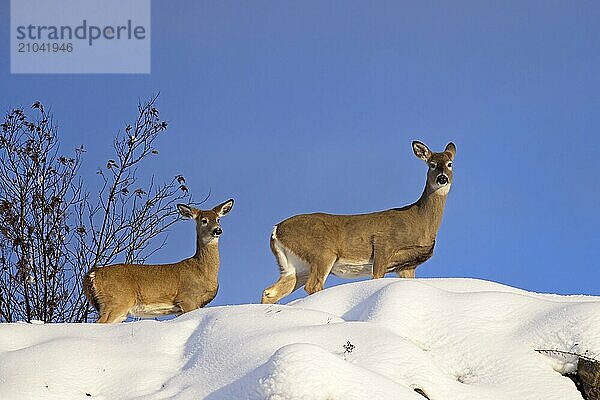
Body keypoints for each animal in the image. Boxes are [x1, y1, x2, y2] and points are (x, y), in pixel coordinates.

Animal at [83, 198, 233, 324]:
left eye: (218, 219)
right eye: (204, 220)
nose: (217, 230)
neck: (202, 270)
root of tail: (93, 273)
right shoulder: (187, 298)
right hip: (117, 300)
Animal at [262, 141, 454, 304]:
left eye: (450, 163)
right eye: (431, 164)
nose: (442, 178)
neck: (419, 220)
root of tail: (276, 230)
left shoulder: (406, 267)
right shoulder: (384, 245)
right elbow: (376, 277)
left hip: (296, 266)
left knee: (270, 292)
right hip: (322, 252)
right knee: (313, 285)